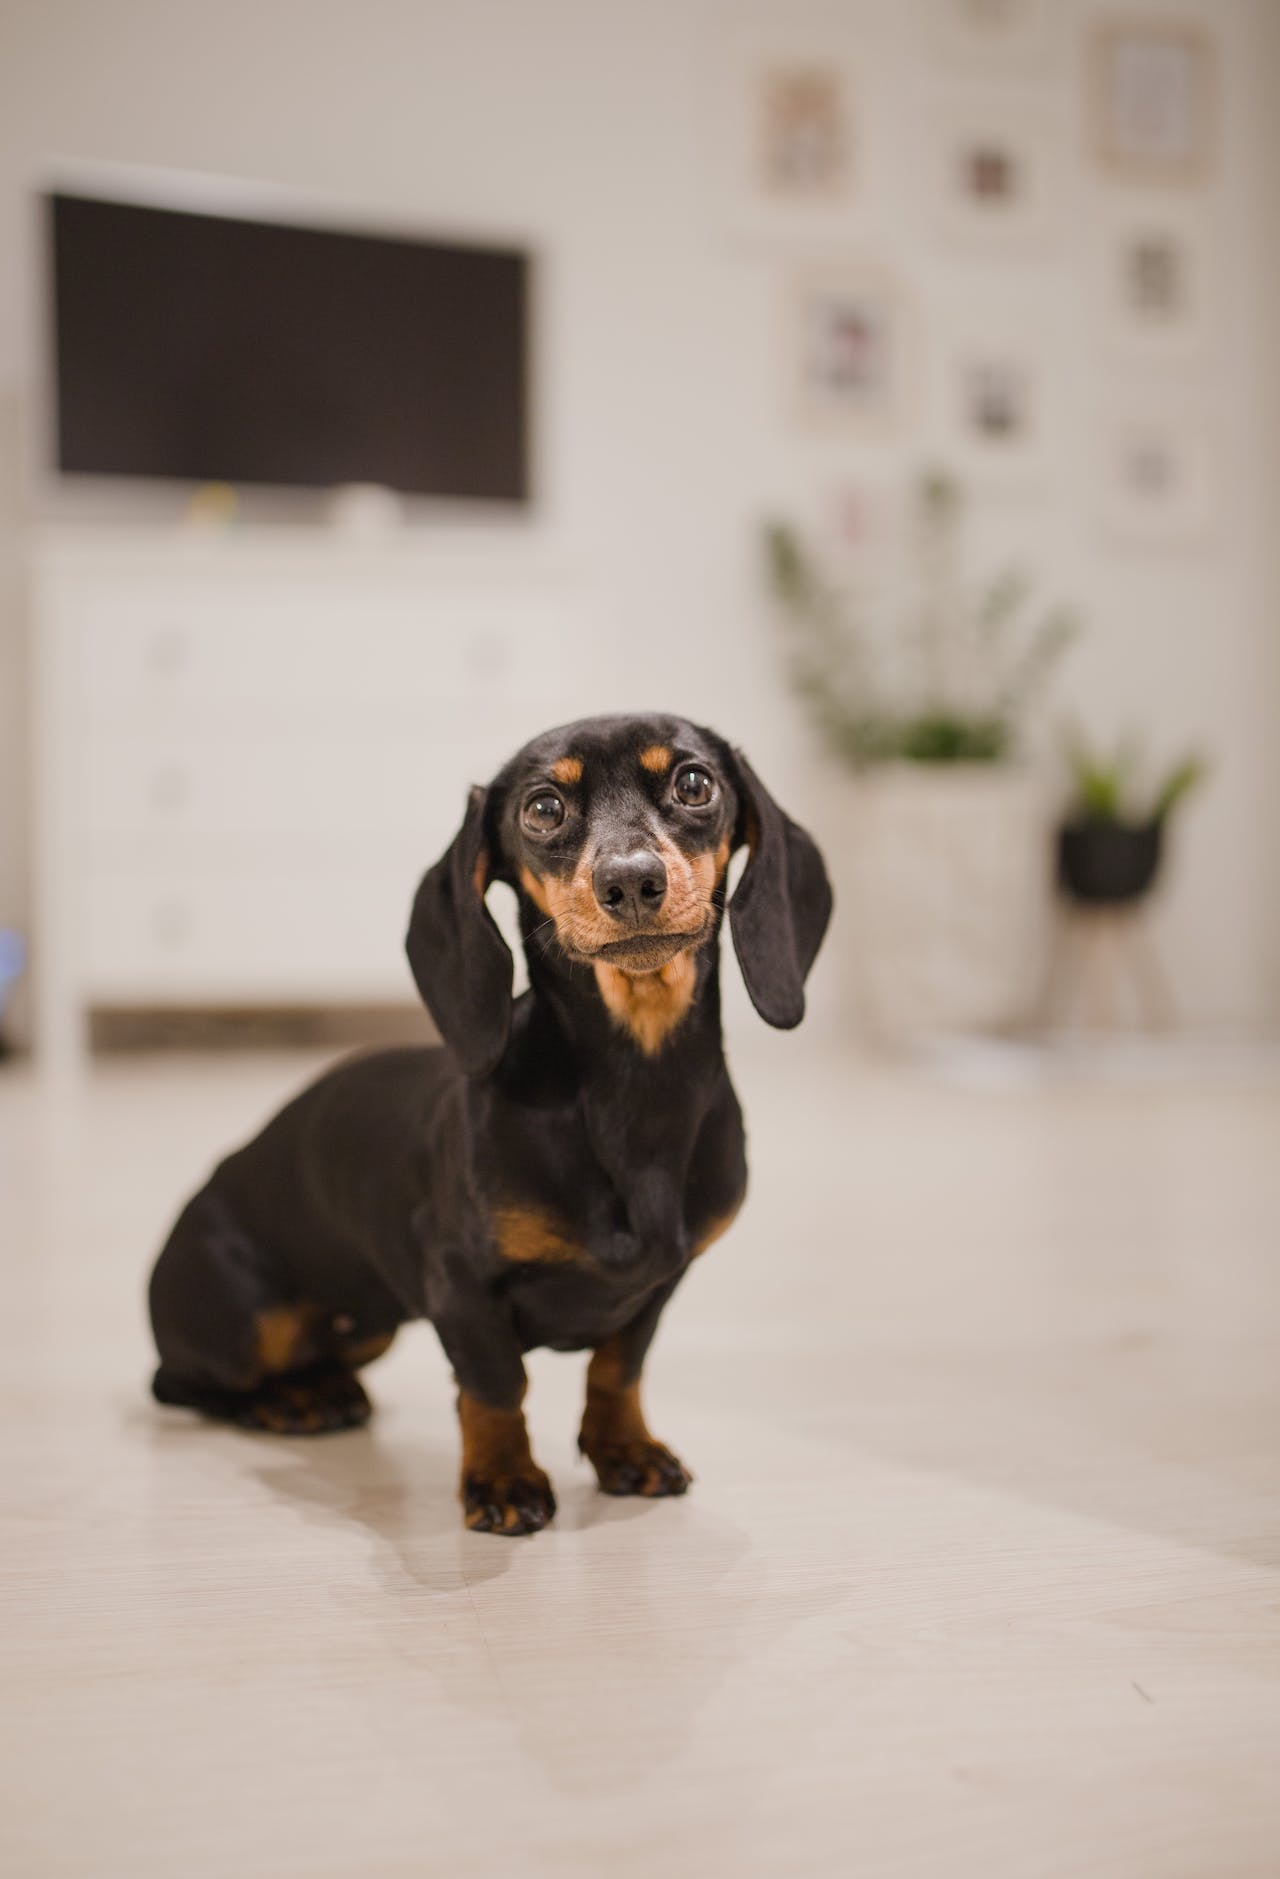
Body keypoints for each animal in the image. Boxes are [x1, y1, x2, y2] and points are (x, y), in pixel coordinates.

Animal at [147, 710, 827, 1533]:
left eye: (695, 783)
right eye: (543, 808)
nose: (631, 881)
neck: (635, 1087)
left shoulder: (661, 1282)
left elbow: (618, 1368)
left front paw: (624, 1450)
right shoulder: (458, 1284)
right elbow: (497, 1387)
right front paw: (504, 1479)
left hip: (370, 1326)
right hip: (244, 1321)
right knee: (188, 1382)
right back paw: (292, 1402)